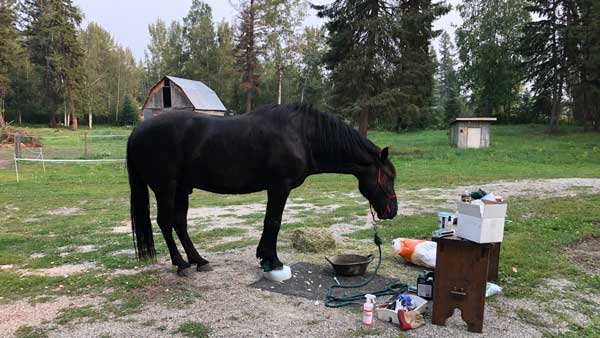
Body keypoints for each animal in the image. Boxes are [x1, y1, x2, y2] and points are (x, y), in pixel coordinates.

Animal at [126, 105, 396, 274]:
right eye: (389, 177)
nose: (391, 211)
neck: (302, 135)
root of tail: (137, 131)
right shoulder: (279, 186)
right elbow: (273, 221)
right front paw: (272, 259)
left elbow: (271, 221)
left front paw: (265, 257)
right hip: (165, 188)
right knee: (165, 222)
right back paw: (181, 265)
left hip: (182, 189)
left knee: (179, 223)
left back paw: (199, 261)